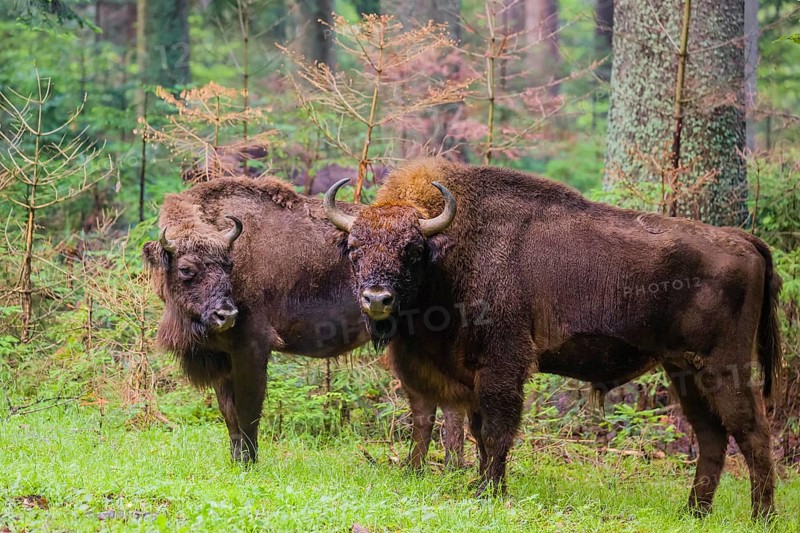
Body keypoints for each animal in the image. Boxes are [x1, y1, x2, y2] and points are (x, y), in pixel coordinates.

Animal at [144, 175, 464, 465]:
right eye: (186, 269)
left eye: (228, 265)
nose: (227, 315)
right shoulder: (223, 357)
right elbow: (229, 414)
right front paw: (236, 461)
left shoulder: (252, 348)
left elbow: (248, 412)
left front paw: (249, 463)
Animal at [324, 158, 783, 518]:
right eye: (355, 247)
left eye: (413, 250)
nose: (377, 298)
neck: (453, 252)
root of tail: (745, 241)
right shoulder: (469, 374)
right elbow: (472, 430)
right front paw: (478, 484)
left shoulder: (503, 364)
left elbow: (496, 430)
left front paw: (488, 492)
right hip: (684, 371)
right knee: (711, 436)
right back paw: (694, 512)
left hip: (725, 368)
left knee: (752, 432)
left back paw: (760, 516)